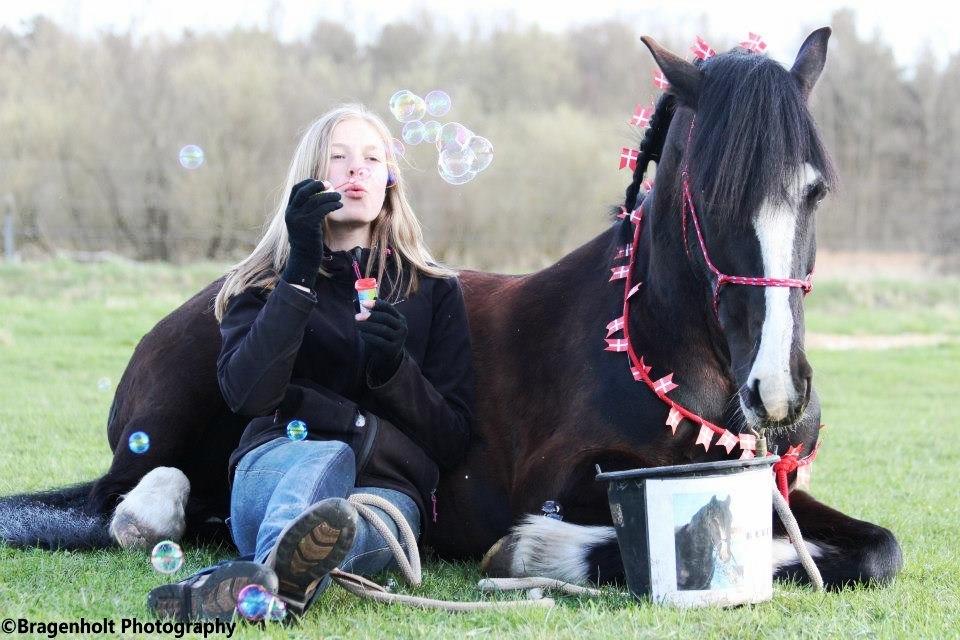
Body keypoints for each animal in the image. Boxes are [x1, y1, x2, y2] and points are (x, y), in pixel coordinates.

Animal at [0, 31, 900, 592]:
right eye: (709, 194)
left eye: (815, 191)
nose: (777, 393)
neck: (656, 348)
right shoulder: (564, 477)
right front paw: (539, 548)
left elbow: (873, 551)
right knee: (123, 496)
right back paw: (153, 511)